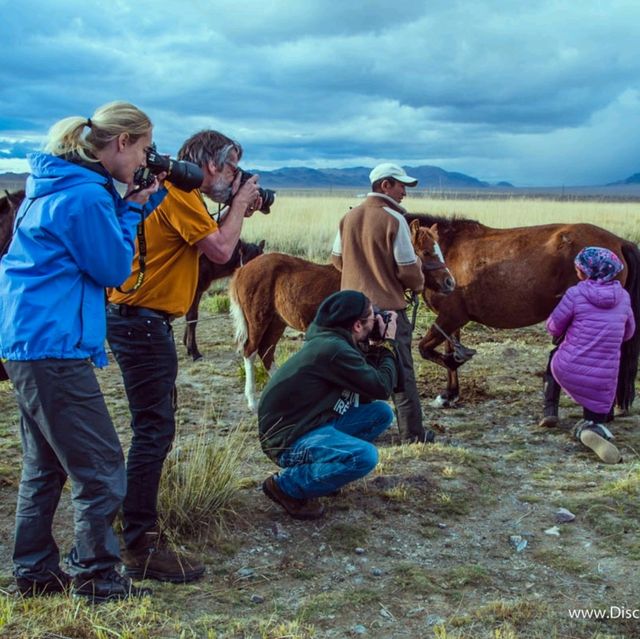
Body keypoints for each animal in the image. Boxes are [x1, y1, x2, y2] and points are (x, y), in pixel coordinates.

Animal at [230, 220, 456, 410]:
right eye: (426, 252)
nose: (450, 282)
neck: (375, 279)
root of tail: (243, 270)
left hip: (277, 322)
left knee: (266, 352)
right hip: (258, 319)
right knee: (250, 351)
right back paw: (252, 401)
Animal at [404, 212, 640, 412]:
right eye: (427, 252)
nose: (449, 283)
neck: (450, 248)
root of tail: (619, 242)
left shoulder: (451, 317)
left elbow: (427, 350)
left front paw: (454, 372)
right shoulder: (452, 321)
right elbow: (448, 350)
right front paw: (449, 394)